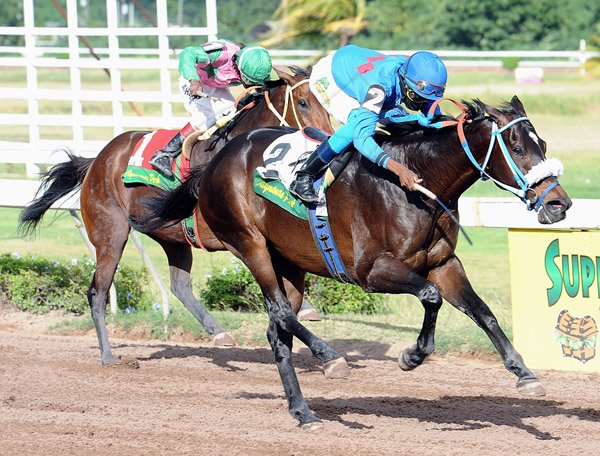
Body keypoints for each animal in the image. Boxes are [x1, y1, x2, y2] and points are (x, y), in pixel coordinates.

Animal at [18, 66, 332, 366]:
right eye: (303, 102)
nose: (325, 137)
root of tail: (97, 160)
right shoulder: (238, 233)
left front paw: (305, 307)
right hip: (111, 235)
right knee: (98, 292)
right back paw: (108, 356)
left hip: (171, 237)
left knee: (179, 286)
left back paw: (218, 331)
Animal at [136, 95, 572, 428]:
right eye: (517, 147)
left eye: (544, 144)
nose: (559, 204)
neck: (416, 185)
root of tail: (214, 161)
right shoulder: (373, 271)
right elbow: (430, 298)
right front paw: (412, 356)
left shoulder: (444, 265)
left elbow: (483, 313)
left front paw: (524, 373)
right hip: (250, 244)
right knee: (282, 313)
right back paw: (330, 359)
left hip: (289, 264)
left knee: (278, 331)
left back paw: (303, 411)